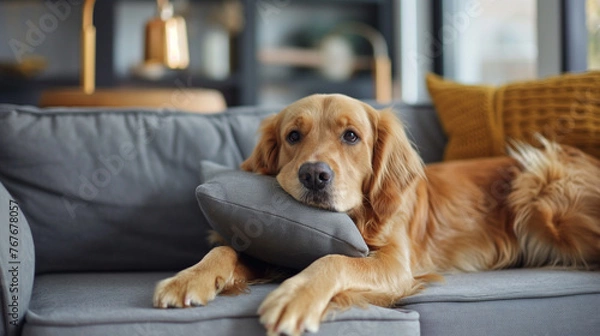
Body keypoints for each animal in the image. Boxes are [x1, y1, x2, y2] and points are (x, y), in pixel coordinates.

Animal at [154, 93, 600, 334]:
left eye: (351, 136)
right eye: (293, 136)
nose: (314, 175)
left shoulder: (393, 262)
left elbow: (332, 260)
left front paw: (294, 296)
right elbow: (225, 250)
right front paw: (188, 277)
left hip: (541, 189)